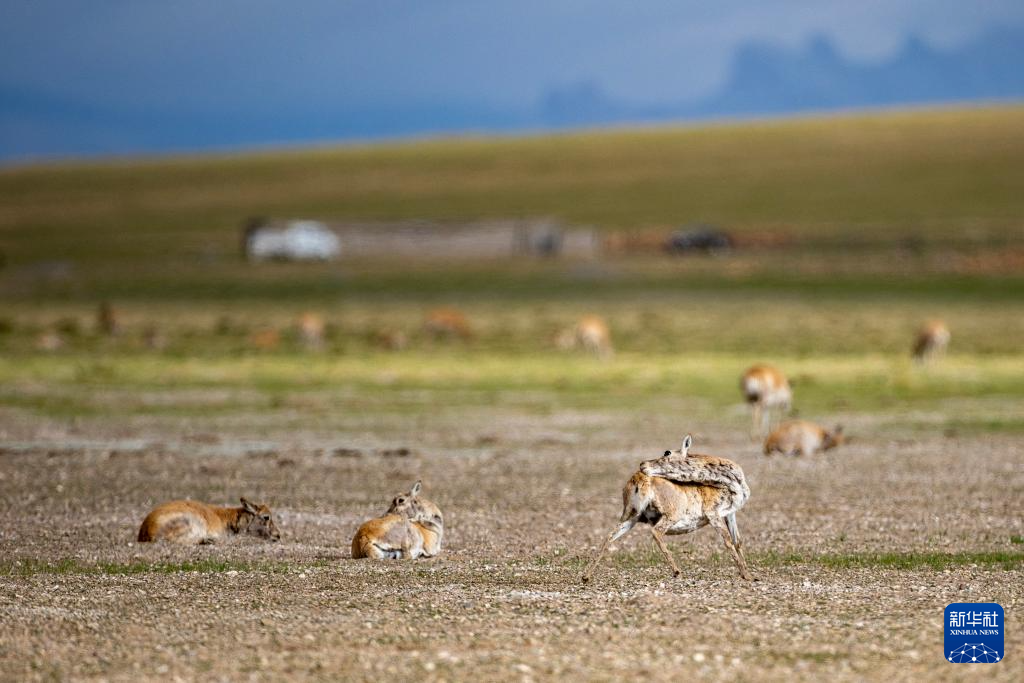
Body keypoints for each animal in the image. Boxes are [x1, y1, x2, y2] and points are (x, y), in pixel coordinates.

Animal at [585, 438, 753, 581]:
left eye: (667, 452)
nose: (643, 464)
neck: (730, 484)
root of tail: (637, 480)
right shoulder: (713, 514)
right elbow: (727, 540)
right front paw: (747, 575)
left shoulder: (730, 513)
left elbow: (737, 541)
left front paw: (749, 573)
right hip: (670, 516)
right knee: (656, 532)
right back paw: (677, 571)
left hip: (631, 517)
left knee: (609, 536)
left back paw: (585, 576)